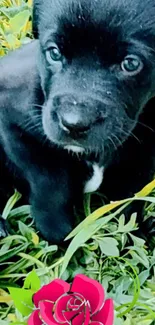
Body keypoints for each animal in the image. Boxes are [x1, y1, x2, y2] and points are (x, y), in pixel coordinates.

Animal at [0, 0, 155, 242]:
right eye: (54, 53)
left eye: (131, 64)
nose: (74, 124)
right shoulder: (13, 123)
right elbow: (51, 186)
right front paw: (63, 237)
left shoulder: (144, 152)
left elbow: (131, 197)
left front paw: (133, 233)